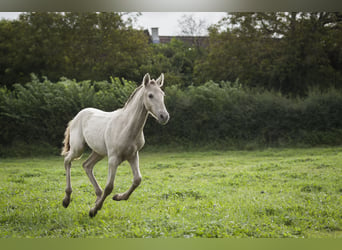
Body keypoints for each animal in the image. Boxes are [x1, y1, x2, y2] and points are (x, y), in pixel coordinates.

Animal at [61, 73, 170, 217]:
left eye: (162, 94)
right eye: (150, 95)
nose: (164, 116)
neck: (126, 127)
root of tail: (77, 116)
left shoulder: (133, 155)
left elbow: (137, 180)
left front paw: (118, 197)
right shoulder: (113, 158)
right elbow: (109, 186)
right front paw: (94, 210)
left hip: (99, 152)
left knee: (87, 165)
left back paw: (97, 196)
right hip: (78, 148)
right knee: (67, 160)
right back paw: (66, 200)